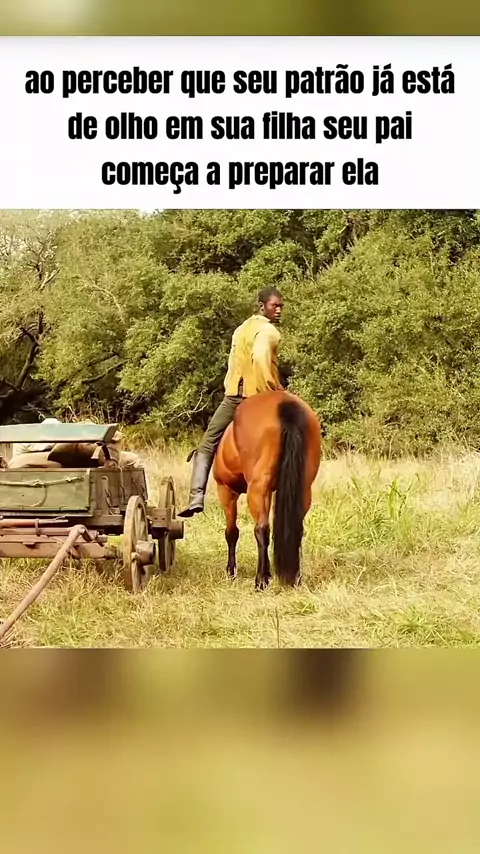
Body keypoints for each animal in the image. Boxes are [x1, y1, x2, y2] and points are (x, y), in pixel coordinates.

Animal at [213, 390, 322, 590]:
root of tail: (285, 404)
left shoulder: (226, 490)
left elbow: (231, 532)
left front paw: (231, 571)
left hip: (256, 489)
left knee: (261, 529)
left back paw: (260, 581)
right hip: (302, 489)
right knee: (295, 528)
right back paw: (294, 577)